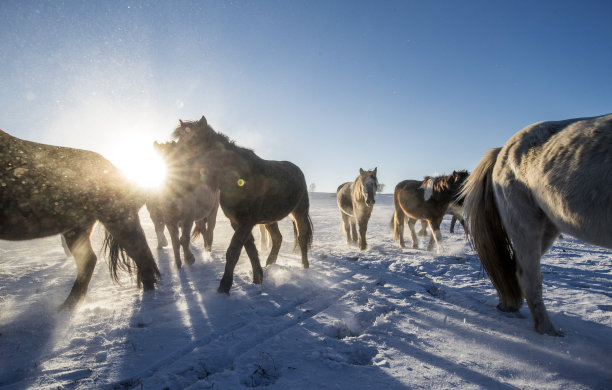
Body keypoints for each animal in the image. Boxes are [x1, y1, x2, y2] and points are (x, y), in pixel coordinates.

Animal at [145, 142, 219, 270]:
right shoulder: (169, 220)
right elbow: (175, 242)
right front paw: (177, 263)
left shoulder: (188, 218)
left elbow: (184, 239)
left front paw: (189, 259)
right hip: (198, 217)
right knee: (204, 231)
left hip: (212, 211)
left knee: (210, 232)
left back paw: (208, 253)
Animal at [170, 115, 314, 292]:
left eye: (193, 140)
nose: (173, 163)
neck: (236, 178)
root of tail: (297, 170)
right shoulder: (237, 222)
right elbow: (249, 248)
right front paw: (258, 277)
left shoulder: (246, 221)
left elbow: (234, 250)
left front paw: (224, 285)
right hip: (270, 219)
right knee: (277, 238)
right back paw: (270, 264)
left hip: (300, 212)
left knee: (302, 238)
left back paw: (305, 267)